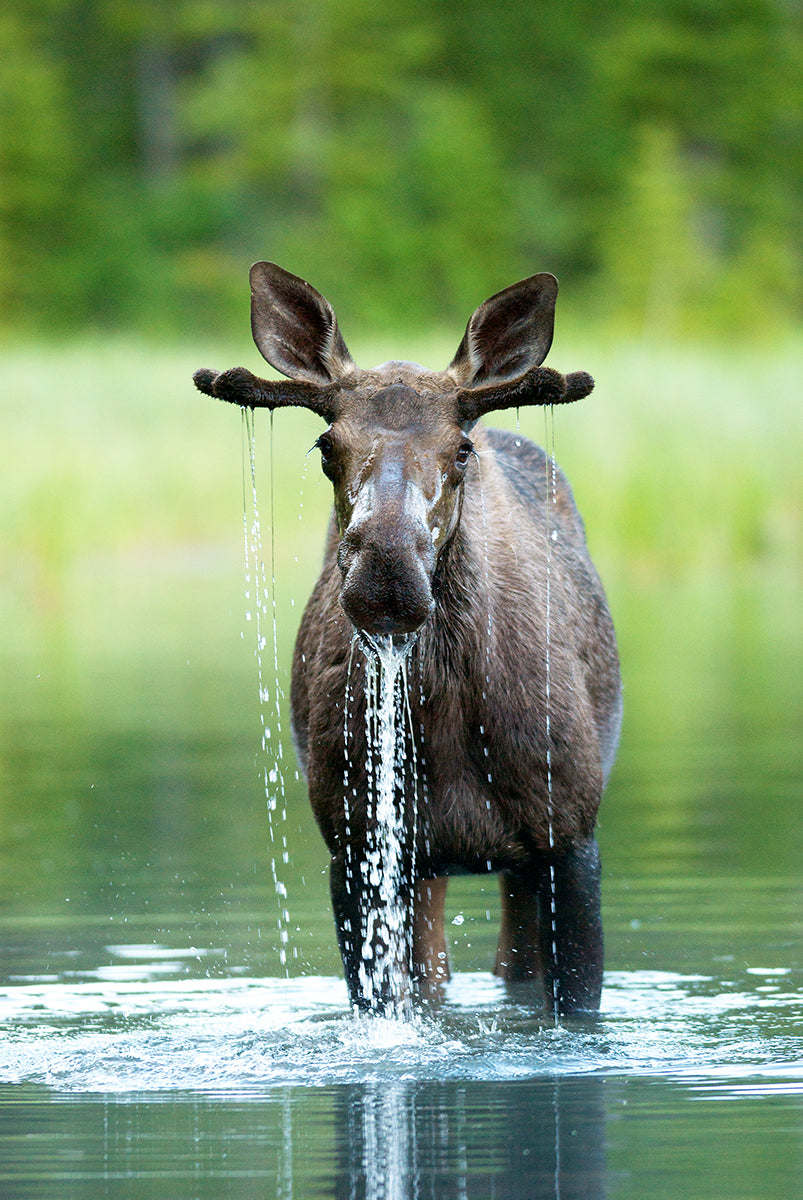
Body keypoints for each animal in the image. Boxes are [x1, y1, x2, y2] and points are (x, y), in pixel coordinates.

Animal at [194, 262, 621, 1017]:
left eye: (461, 448)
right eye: (325, 446)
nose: (386, 574)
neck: (444, 713)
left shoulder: (570, 835)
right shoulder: (358, 845)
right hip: (422, 862)